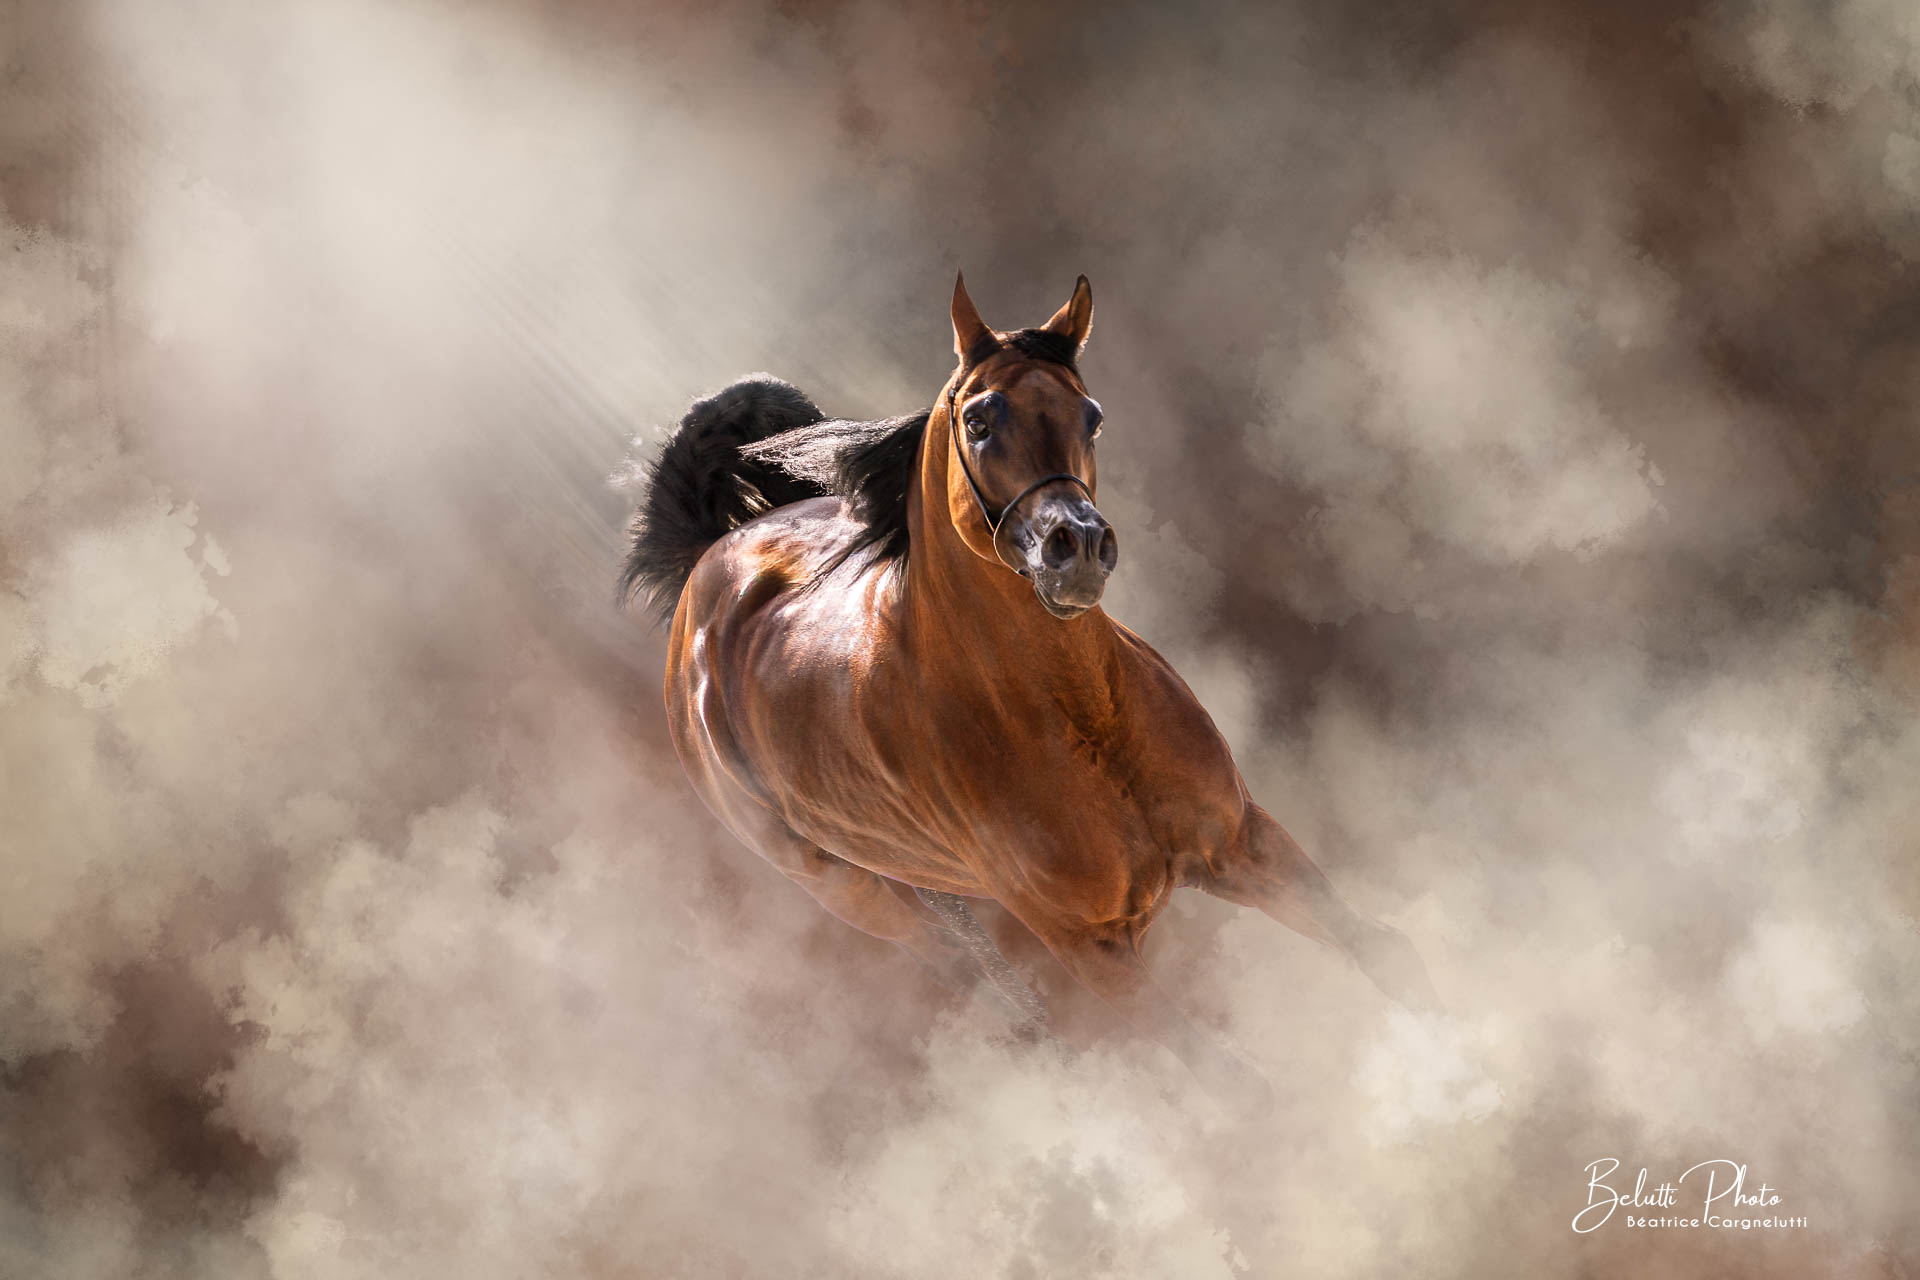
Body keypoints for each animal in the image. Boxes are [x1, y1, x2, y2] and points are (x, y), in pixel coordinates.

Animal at [621, 274, 1437, 1103]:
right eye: (979, 419)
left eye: (1091, 415)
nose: (1076, 549)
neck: (1079, 720)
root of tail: (710, 565)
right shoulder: (1094, 949)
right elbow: (1239, 1086)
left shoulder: (1243, 841)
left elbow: (1382, 951)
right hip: (858, 893)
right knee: (994, 994)